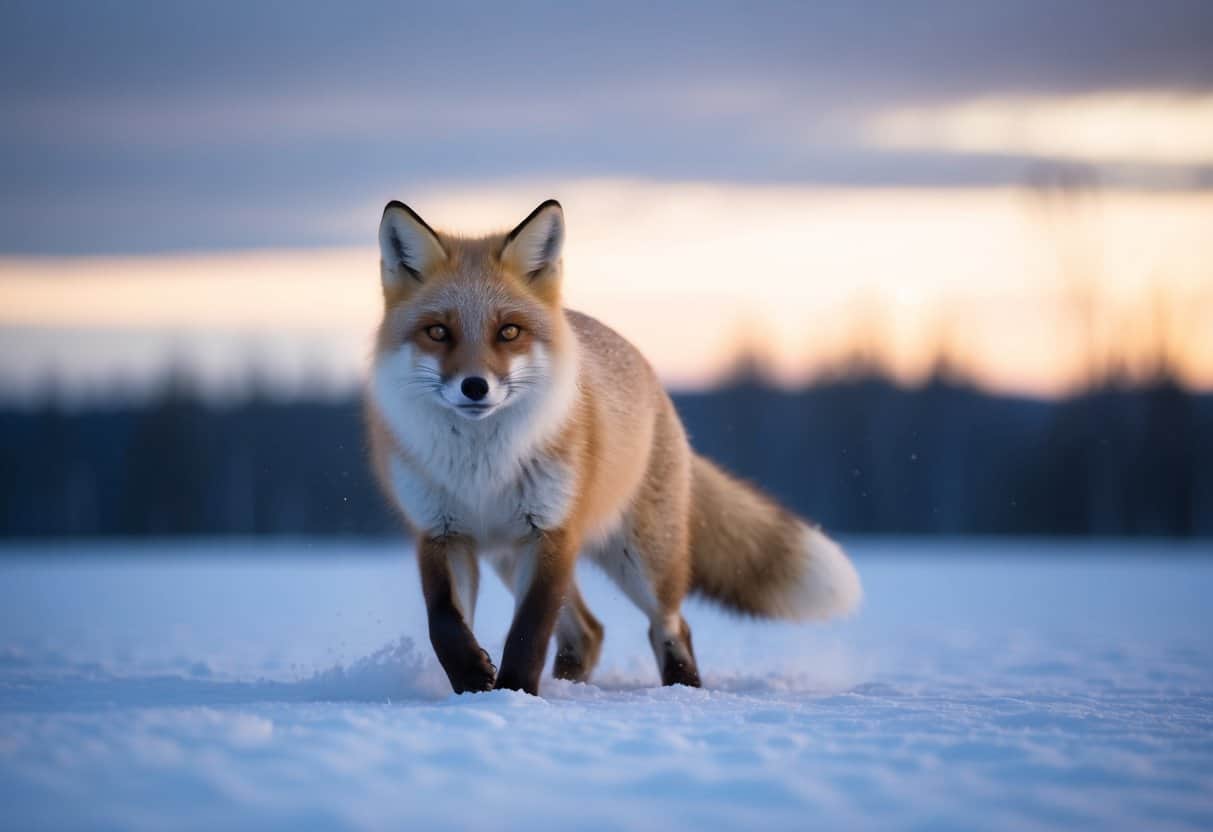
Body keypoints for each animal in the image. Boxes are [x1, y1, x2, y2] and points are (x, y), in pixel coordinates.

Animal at [366, 198, 862, 696]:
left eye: (508, 332)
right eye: (437, 332)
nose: (474, 386)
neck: (483, 469)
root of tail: (651, 375)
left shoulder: (551, 532)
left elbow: (528, 632)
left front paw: (515, 695)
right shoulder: (440, 533)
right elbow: (444, 623)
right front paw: (473, 683)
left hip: (640, 560)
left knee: (670, 626)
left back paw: (682, 689)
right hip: (512, 556)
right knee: (589, 632)